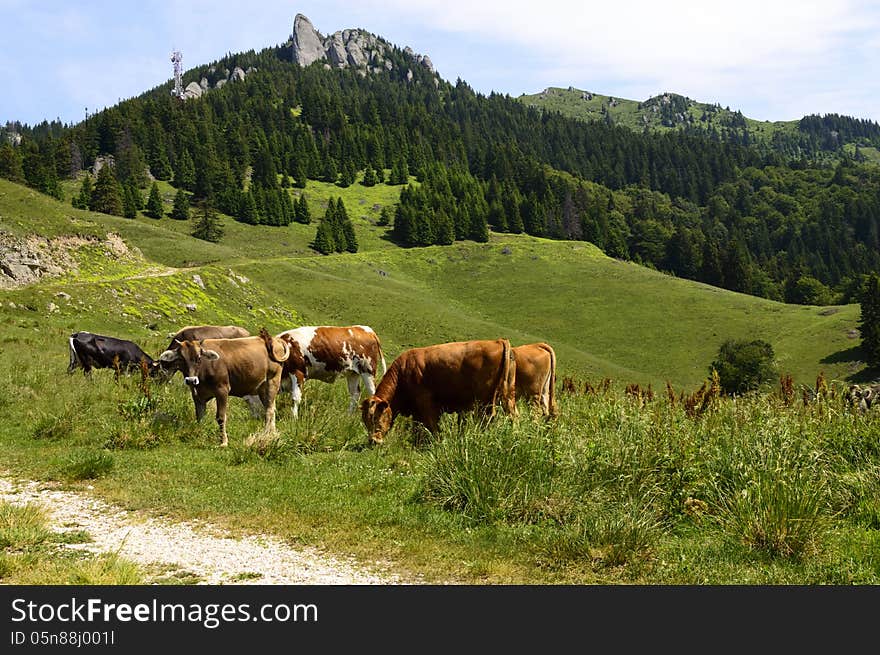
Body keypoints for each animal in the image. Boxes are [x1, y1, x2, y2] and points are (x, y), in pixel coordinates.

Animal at [160, 328, 290, 446]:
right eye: (181, 359)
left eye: (199, 358)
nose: (191, 380)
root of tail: (272, 339)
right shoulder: (197, 395)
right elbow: (200, 416)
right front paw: (199, 434)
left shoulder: (222, 390)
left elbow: (220, 417)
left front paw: (223, 442)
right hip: (262, 388)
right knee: (271, 408)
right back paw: (271, 433)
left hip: (272, 382)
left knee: (269, 411)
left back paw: (267, 434)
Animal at [360, 338, 520, 446]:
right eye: (365, 421)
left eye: (375, 417)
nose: (373, 441)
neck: (403, 371)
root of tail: (498, 341)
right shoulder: (417, 411)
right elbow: (417, 428)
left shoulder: (426, 402)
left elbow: (432, 426)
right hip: (508, 395)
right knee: (513, 416)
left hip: (484, 401)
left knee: (487, 418)